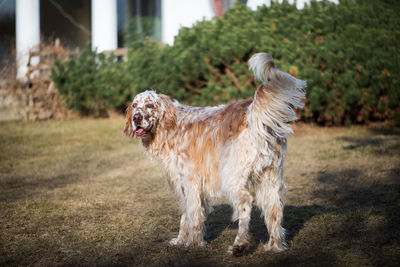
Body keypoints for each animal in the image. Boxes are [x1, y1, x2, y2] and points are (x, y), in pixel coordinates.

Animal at [124, 52, 306, 255]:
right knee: (274, 209)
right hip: (270, 176)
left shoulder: (190, 181)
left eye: (150, 105)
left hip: (232, 176)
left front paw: (193, 243)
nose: (136, 118)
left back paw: (239, 244)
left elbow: (193, 216)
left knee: (245, 204)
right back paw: (274, 246)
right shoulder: (185, 184)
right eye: (134, 105)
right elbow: (186, 216)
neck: (170, 127)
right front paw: (180, 240)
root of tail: (253, 112)